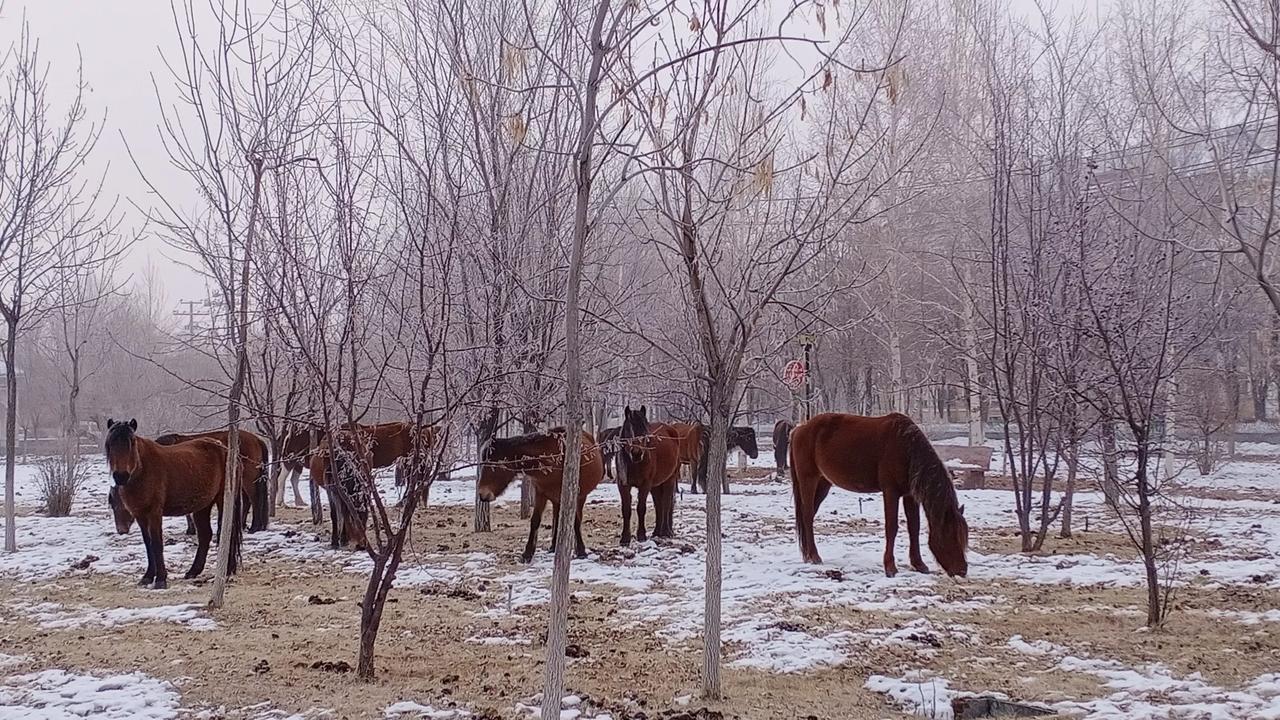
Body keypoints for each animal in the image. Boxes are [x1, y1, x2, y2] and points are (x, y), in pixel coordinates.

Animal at [103, 417, 241, 586]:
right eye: (110, 444)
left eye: (132, 442)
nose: (121, 476)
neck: (143, 470)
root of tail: (228, 450)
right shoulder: (140, 515)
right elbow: (148, 544)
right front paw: (148, 576)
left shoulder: (154, 513)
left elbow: (157, 543)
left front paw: (161, 579)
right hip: (203, 505)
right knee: (205, 535)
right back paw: (193, 571)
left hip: (223, 501)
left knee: (228, 532)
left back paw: (227, 570)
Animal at [476, 425, 604, 561]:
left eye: (494, 465)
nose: (482, 494)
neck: (552, 459)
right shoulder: (540, 493)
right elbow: (535, 521)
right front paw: (527, 553)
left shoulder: (573, 495)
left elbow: (574, 521)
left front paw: (581, 551)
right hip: (556, 499)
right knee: (557, 518)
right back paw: (553, 546)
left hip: (579, 497)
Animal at [616, 407, 686, 540]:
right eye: (629, 429)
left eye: (645, 430)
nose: (637, 453)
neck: (634, 463)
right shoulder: (623, 485)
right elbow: (626, 509)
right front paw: (625, 538)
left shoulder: (645, 485)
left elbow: (641, 508)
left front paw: (641, 535)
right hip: (656, 485)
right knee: (658, 504)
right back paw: (657, 531)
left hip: (670, 479)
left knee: (667, 503)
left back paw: (666, 531)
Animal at [788, 412, 967, 573]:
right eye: (950, 534)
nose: (962, 570)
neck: (906, 448)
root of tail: (799, 429)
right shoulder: (891, 492)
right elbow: (891, 527)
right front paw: (890, 566)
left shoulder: (909, 495)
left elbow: (914, 527)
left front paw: (919, 564)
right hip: (809, 480)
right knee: (807, 515)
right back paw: (814, 556)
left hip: (823, 483)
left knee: (809, 515)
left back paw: (808, 555)